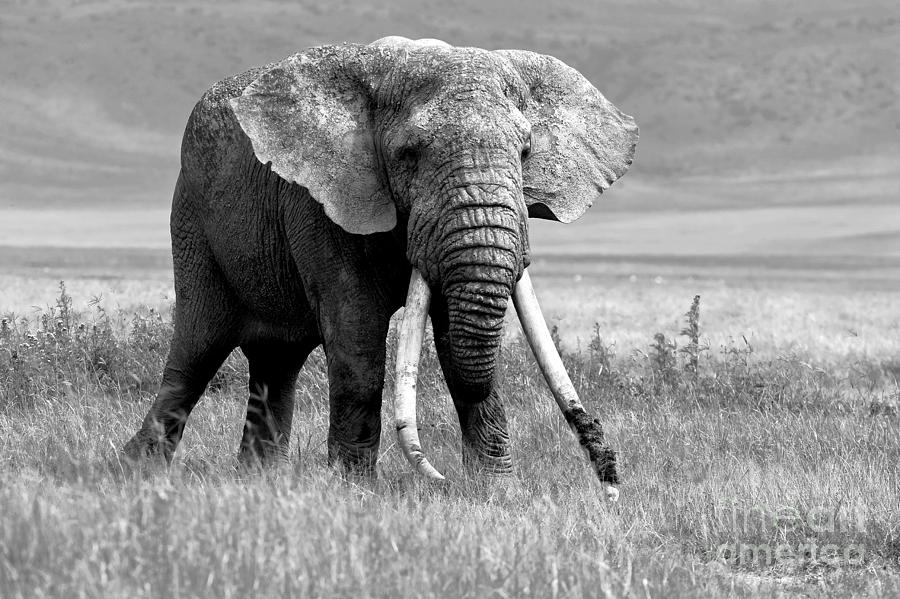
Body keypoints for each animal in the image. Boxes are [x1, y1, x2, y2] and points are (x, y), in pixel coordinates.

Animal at [123, 36, 638, 498]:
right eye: (408, 154)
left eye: (526, 151)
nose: (609, 475)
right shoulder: (320, 199)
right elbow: (357, 340)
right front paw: (355, 492)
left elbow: (457, 340)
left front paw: (498, 492)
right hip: (193, 220)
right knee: (197, 352)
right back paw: (137, 472)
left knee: (276, 361)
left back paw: (259, 482)